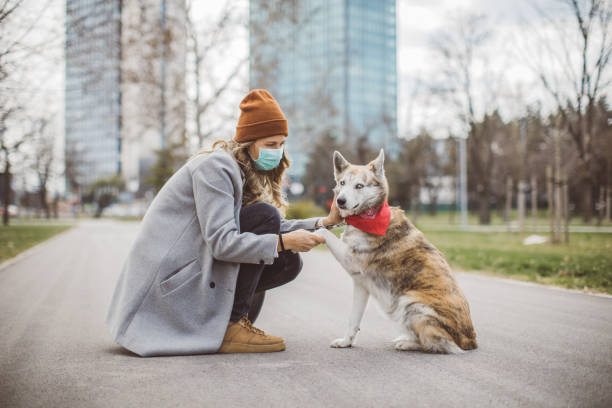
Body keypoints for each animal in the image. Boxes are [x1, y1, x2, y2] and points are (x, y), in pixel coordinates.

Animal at [316, 150, 478, 354]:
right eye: (342, 183)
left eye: (359, 186)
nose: (340, 201)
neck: (371, 215)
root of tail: (470, 342)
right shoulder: (361, 284)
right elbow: (353, 319)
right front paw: (347, 342)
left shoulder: (351, 260)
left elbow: (321, 232)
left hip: (409, 302)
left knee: (438, 344)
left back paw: (408, 343)